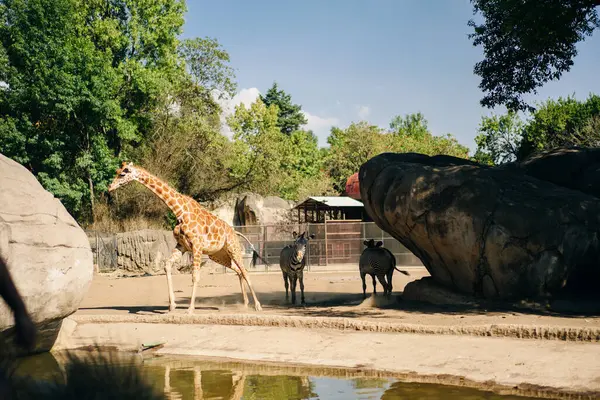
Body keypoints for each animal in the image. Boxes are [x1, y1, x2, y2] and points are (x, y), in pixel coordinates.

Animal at [109, 162, 264, 312]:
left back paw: (257, 306)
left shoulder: (197, 245)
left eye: (123, 174)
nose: (110, 188)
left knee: (245, 272)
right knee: (238, 271)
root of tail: (234, 232)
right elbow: (167, 266)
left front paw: (189, 309)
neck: (179, 211)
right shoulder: (182, 246)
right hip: (218, 254)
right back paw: (245, 303)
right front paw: (172, 305)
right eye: (117, 171)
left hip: (232, 248)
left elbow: (195, 276)